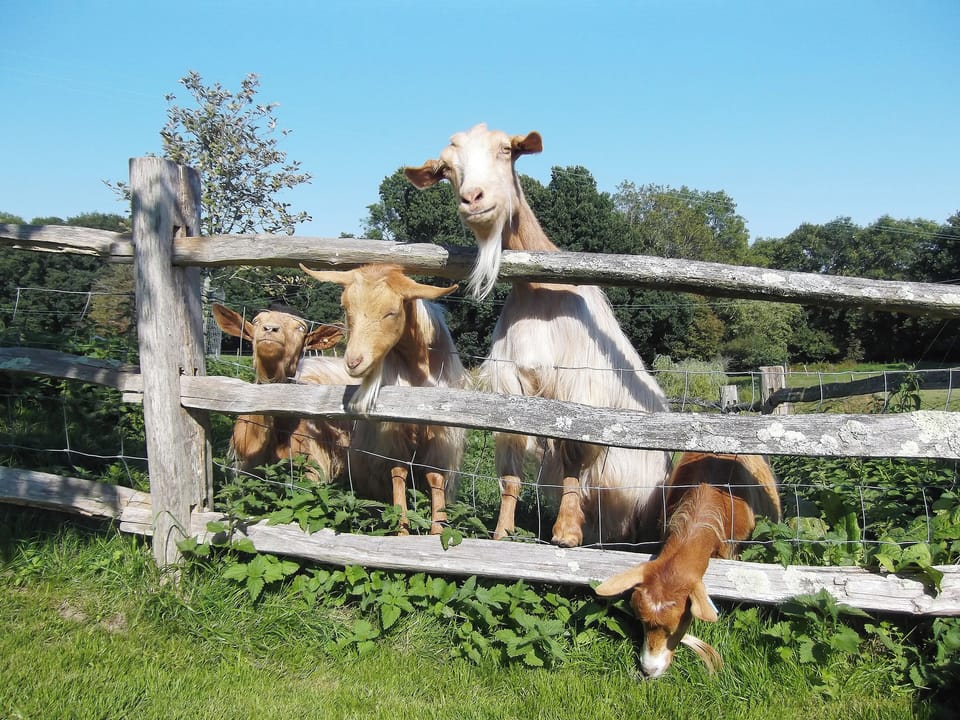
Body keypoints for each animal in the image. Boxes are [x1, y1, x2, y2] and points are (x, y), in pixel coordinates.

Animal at [299, 263, 467, 535]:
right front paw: (402, 530)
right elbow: (398, 474)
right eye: (346, 308)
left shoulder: (440, 438)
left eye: (392, 312)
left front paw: (438, 530)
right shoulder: (391, 435)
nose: (354, 362)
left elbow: (435, 478)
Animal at [405, 123, 672, 547]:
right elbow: (510, 474)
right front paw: (502, 533)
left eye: (506, 150)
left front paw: (565, 532)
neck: (539, 291)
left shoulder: (580, 387)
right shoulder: (511, 382)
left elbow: (573, 458)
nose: (472, 199)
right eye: (446, 168)